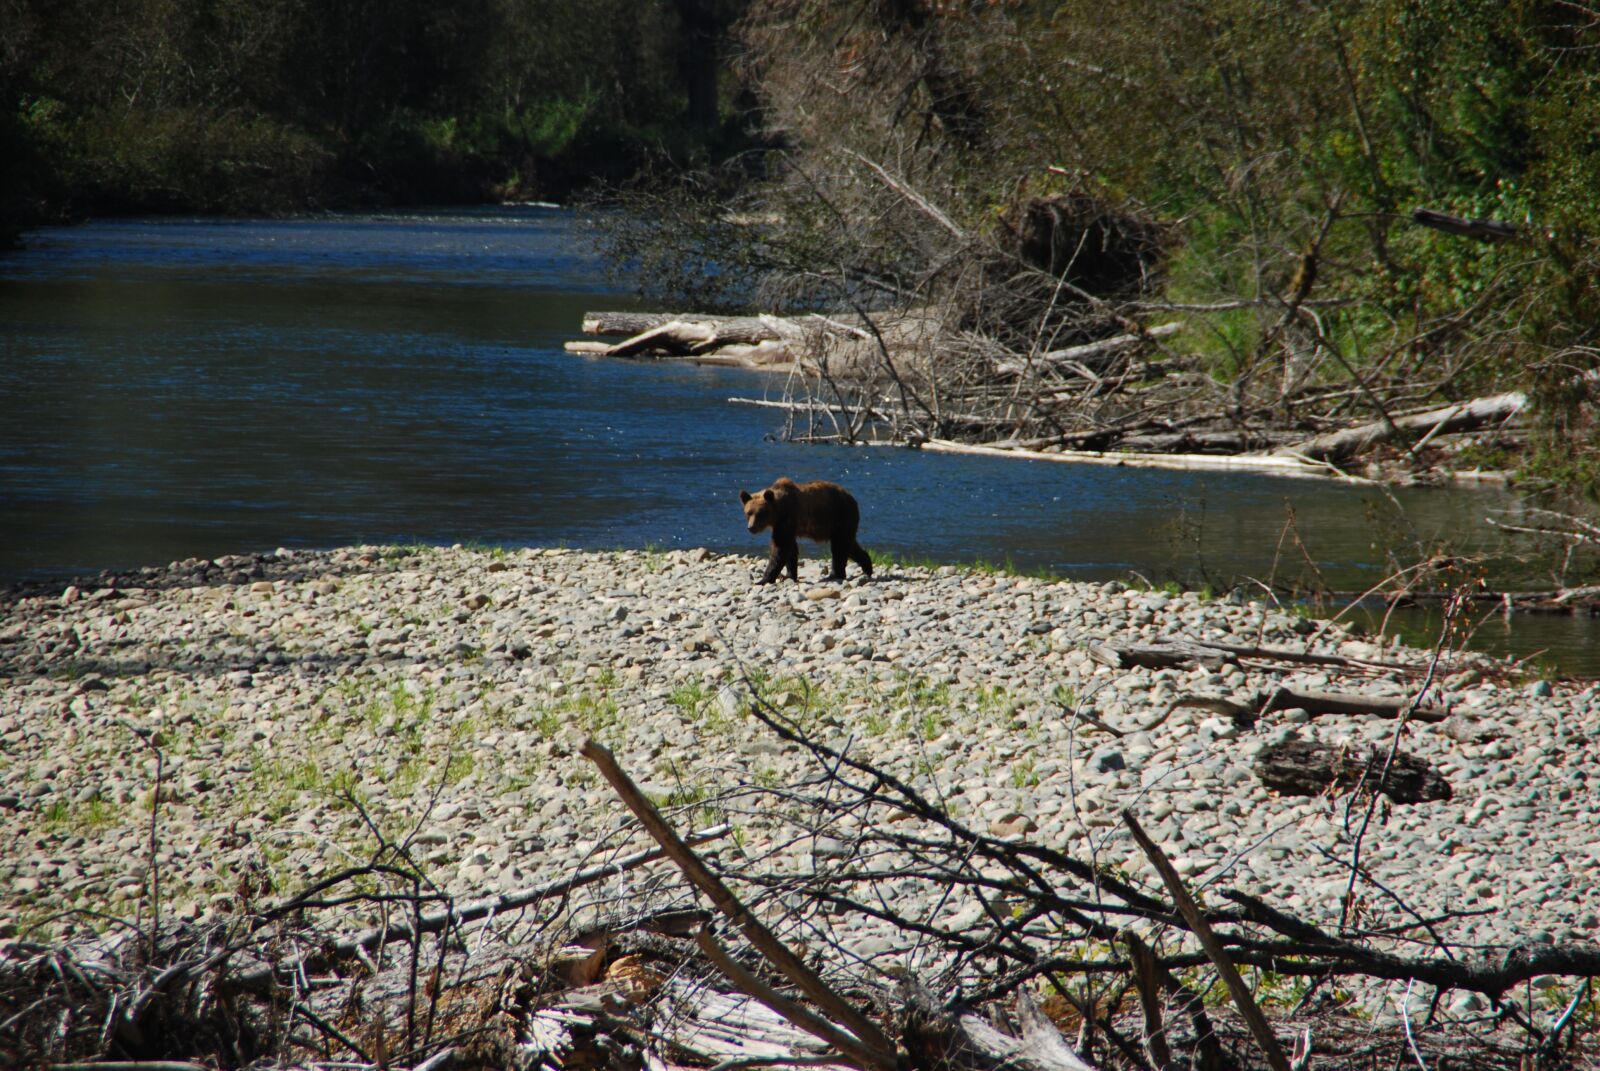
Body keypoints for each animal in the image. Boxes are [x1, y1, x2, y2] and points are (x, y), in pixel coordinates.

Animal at [739, 477, 873, 584]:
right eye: (748, 513)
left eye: (760, 513)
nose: (751, 527)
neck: (780, 510)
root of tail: (851, 497)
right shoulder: (785, 524)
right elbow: (790, 549)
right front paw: (789, 575)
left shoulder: (788, 518)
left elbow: (781, 547)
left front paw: (763, 579)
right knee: (849, 545)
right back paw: (867, 567)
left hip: (840, 514)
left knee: (839, 546)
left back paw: (835, 575)